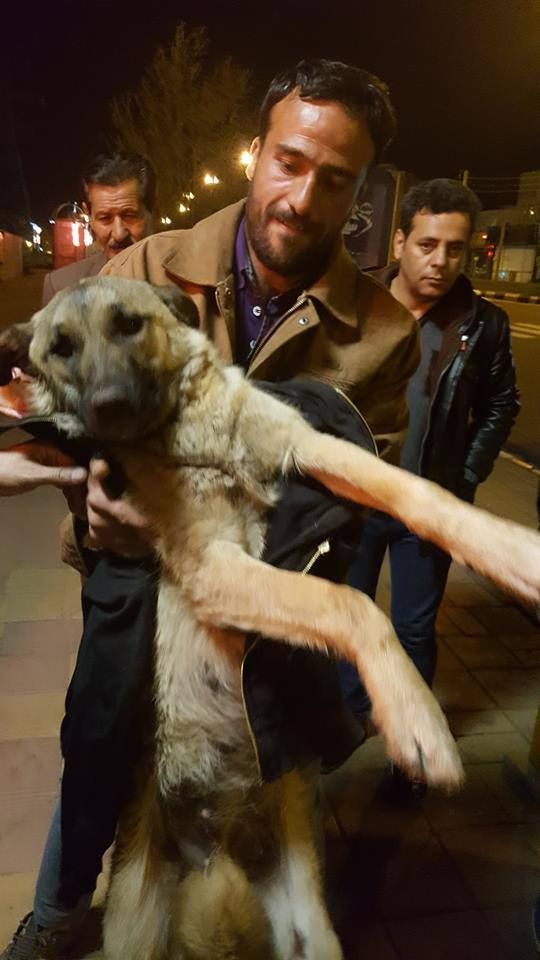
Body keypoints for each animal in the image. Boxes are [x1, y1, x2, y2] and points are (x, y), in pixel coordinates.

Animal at [1, 277, 539, 960]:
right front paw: (415, 716)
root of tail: (220, 849)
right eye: (62, 349)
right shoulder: (214, 566)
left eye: (128, 325)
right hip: (133, 929)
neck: (190, 438)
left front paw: (510, 550)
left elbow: (418, 492)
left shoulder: (307, 445)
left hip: (313, 931)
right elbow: (347, 603)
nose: (109, 407)